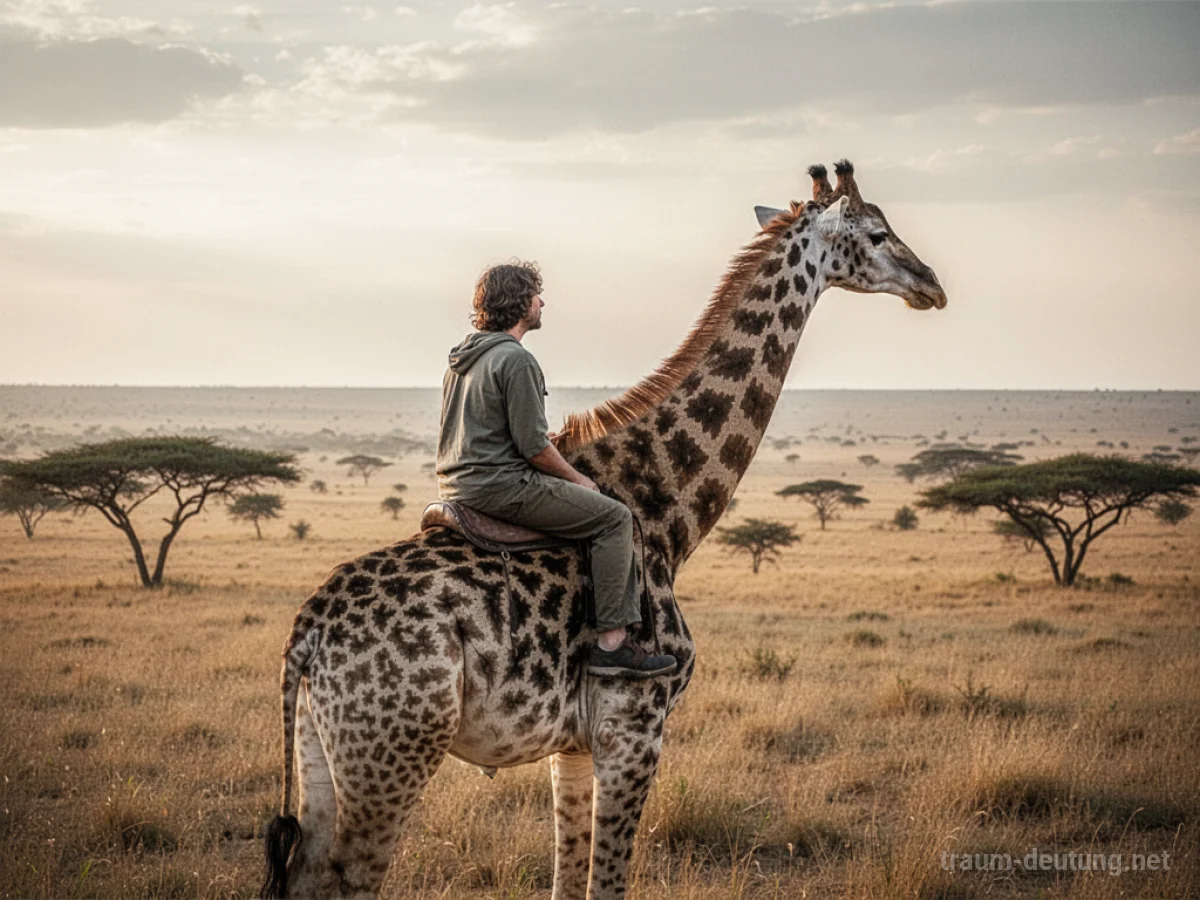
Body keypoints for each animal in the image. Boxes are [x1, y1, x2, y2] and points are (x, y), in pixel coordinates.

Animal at [260, 160, 947, 899]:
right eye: (877, 234)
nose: (931, 285)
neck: (667, 511)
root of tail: (307, 635)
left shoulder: (575, 747)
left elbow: (570, 878)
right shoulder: (635, 730)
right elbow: (605, 883)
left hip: (323, 753)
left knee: (302, 873)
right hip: (392, 751)